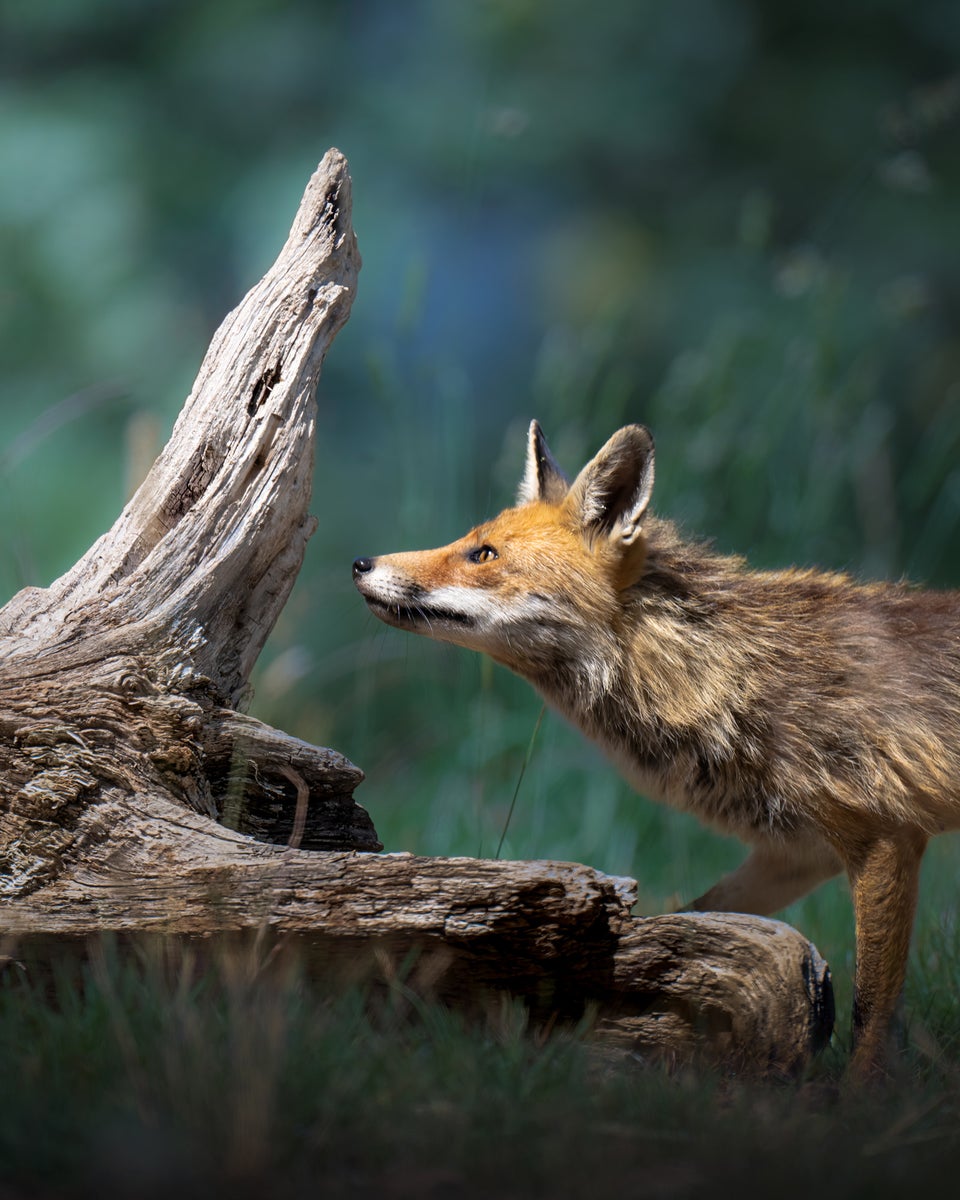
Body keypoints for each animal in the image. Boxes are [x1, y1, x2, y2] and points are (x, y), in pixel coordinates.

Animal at [353, 420, 960, 1077]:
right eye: (470, 541)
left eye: (483, 554)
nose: (360, 562)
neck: (735, 676)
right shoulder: (798, 851)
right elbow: (694, 914)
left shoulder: (885, 838)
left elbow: (872, 1017)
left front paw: (856, 1098)